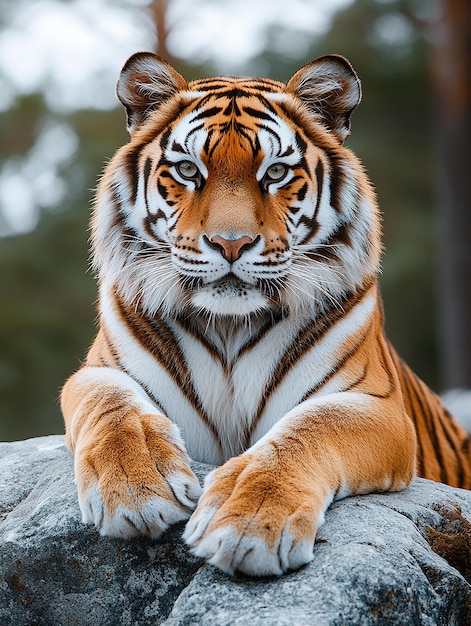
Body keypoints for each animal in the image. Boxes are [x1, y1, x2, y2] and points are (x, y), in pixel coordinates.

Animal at [61, 52, 471, 576]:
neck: (229, 326)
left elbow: (306, 430)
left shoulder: (376, 406)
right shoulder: (96, 371)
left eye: (275, 173)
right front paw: (137, 489)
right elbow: (113, 405)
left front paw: (247, 520)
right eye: (188, 169)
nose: (230, 243)